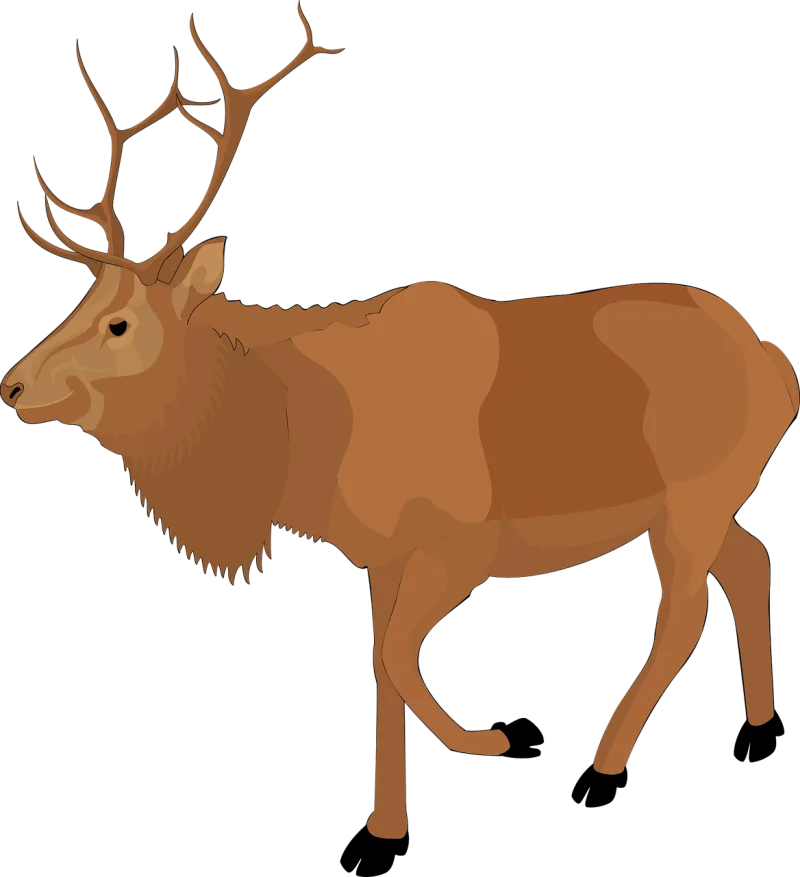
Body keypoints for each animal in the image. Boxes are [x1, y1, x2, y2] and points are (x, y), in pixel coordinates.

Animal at [3, 5, 797, 843]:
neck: (304, 440)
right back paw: (757, 713)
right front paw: (388, 816)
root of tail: (774, 360)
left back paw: (608, 751)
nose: (11, 383)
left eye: (119, 323)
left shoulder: (462, 539)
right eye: (81, 304)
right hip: (705, 502)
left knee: (684, 609)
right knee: (751, 559)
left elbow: (393, 656)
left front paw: (485, 739)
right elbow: (379, 661)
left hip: (692, 498)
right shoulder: (380, 555)